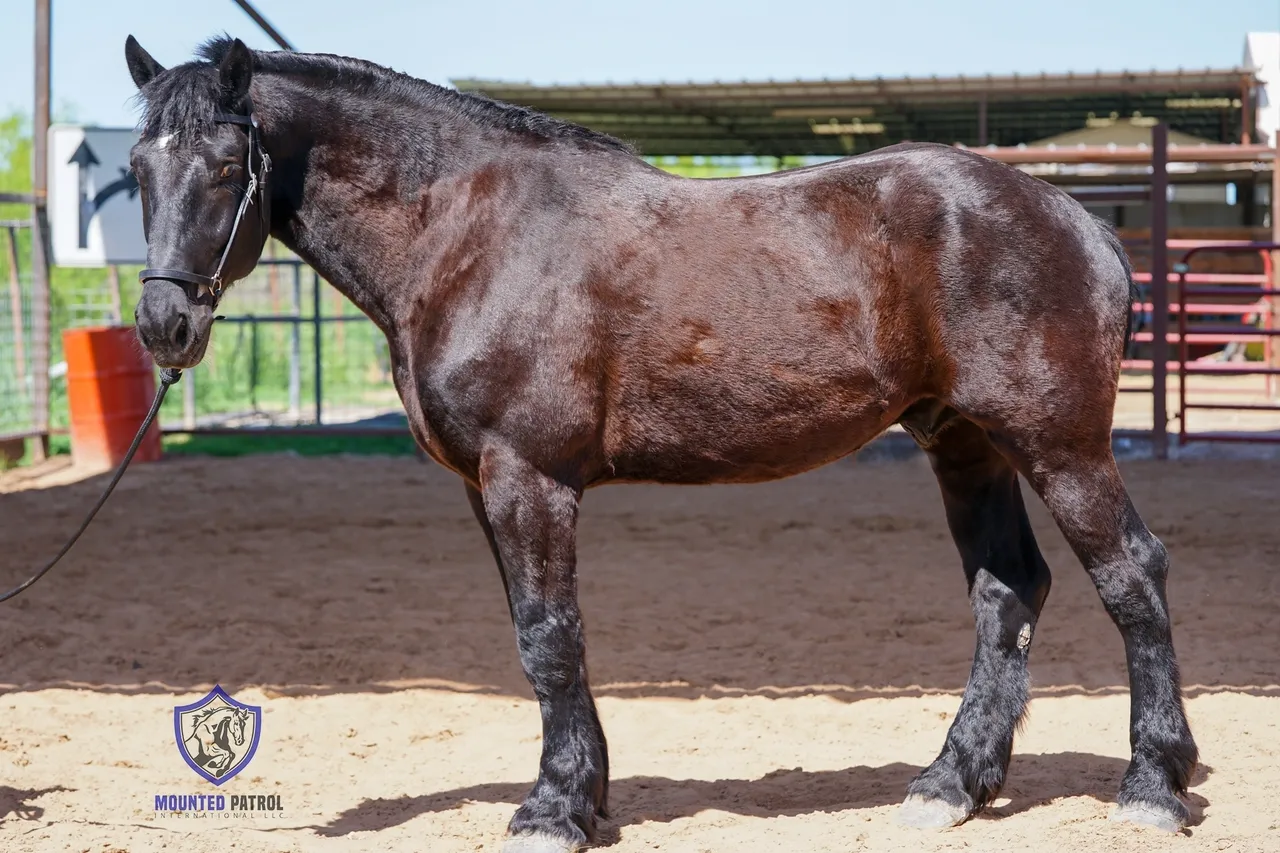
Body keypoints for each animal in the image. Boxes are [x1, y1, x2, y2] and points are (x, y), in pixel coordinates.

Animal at [122, 35, 1197, 852]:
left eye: (227, 165)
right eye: (135, 167)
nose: (164, 328)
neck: (468, 233)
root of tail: (1078, 222)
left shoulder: (528, 479)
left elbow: (548, 638)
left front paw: (551, 810)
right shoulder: (485, 487)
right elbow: (544, 635)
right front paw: (586, 796)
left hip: (1057, 445)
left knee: (1131, 574)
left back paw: (1151, 783)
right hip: (966, 444)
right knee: (1006, 589)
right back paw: (948, 784)